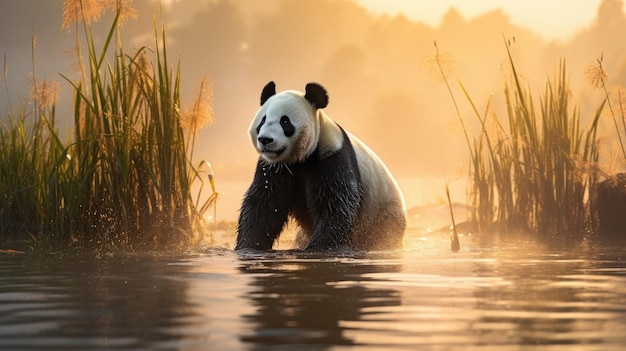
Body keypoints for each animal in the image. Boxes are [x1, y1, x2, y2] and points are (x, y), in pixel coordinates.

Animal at [234, 82, 404, 252]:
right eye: (262, 121)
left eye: (285, 122)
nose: (265, 139)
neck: (301, 158)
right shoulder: (274, 168)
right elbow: (264, 204)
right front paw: (249, 247)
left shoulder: (332, 157)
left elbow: (336, 205)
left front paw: (318, 248)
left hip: (383, 212)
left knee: (382, 232)